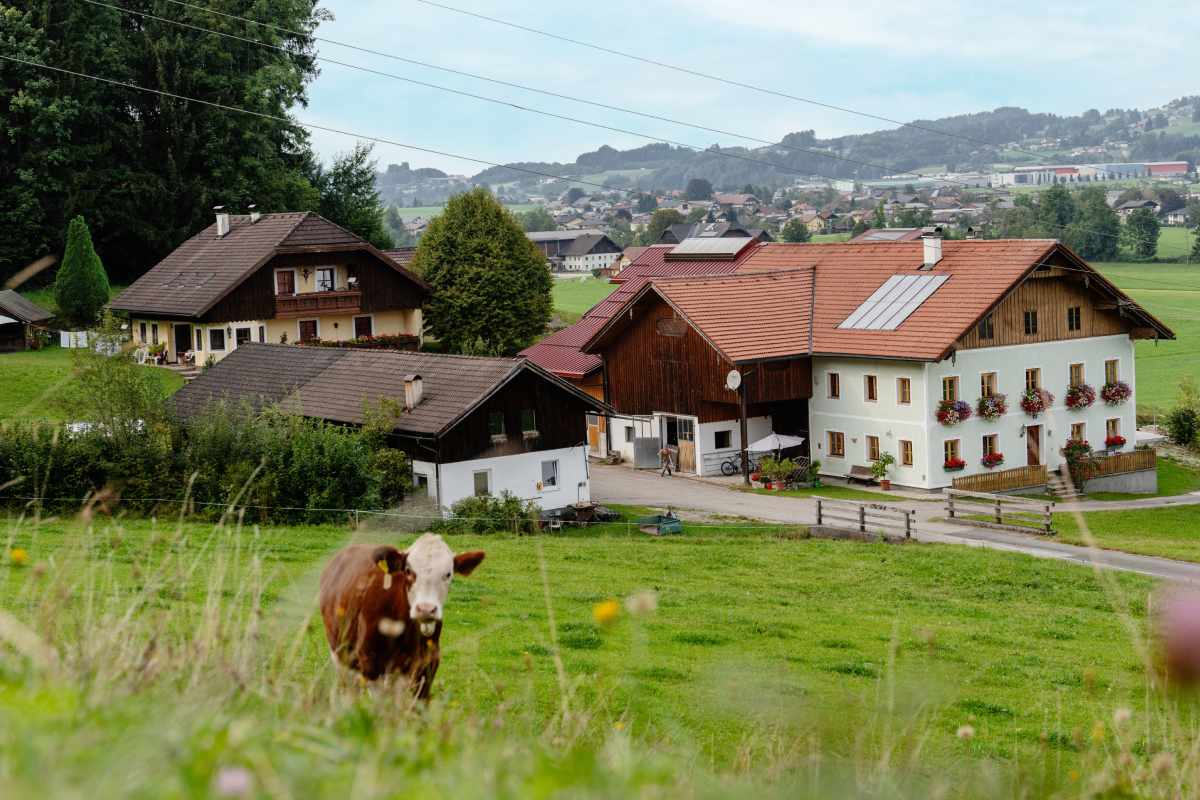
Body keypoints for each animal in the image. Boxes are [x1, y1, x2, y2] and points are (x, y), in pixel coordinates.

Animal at [324, 537, 487, 695]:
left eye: (448, 574)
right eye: (408, 570)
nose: (426, 609)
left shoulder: (428, 666)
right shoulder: (370, 662)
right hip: (342, 656)